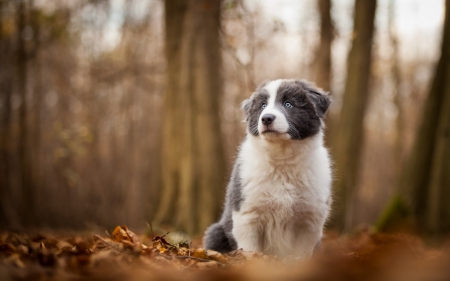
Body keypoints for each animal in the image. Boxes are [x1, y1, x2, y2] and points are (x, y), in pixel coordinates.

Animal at [204, 77, 334, 258]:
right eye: (263, 105)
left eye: (288, 104)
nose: (266, 118)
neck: (282, 160)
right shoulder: (247, 215)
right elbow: (250, 250)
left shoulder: (309, 219)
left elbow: (301, 254)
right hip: (216, 232)